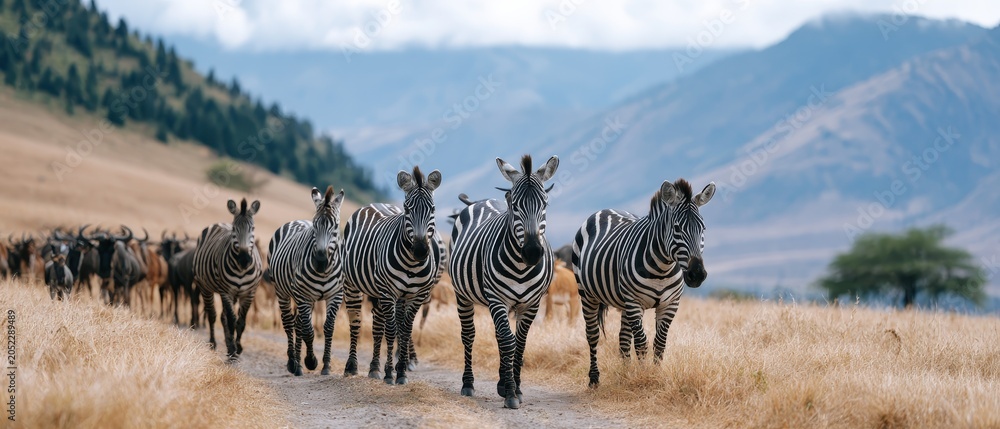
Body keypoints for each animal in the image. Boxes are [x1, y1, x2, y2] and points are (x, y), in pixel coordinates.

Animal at [194, 198, 263, 361]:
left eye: (253, 228)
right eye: (234, 229)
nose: (244, 259)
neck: (241, 270)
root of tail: (219, 223)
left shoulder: (249, 293)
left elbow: (241, 322)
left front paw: (237, 347)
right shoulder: (226, 292)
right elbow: (232, 320)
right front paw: (232, 350)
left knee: (222, 316)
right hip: (205, 287)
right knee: (212, 315)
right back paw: (213, 343)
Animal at [267, 186, 346, 376]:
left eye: (336, 227)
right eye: (315, 225)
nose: (321, 261)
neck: (324, 272)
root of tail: (297, 221)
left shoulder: (335, 295)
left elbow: (328, 327)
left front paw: (326, 365)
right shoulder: (303, 295)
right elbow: (309, 331)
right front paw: (311, 361)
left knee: (298, 323)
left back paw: (298, 365)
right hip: (283, 291)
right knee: (289, 323)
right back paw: (292, 363)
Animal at [343, 166, 445, 385]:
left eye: (433, 209)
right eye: (406, 209)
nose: (421, 250)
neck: (412, 264)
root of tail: (374, 204)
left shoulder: (416, 296)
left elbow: (404, 331)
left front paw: (402, 372)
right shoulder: (388, 292)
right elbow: (392, 330)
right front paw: (390, 372)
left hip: (382, 293)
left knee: (378, 325)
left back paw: (374, 368)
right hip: (353, 285)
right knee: (355, 321)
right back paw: (352, 366)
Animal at [450, 155, 559, 409]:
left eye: (545, 205)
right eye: (515, 205)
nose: (532, 252)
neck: (521, 267)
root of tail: (481, 201)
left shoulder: (532, 303)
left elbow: (519, 343)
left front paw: (514, 387)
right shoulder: (497, 298)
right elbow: (509, 342)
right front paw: (510, 393)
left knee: (501, 336)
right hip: (463, 295)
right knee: (469, 335)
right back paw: (468, 384)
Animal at [572, 178, 714, 388]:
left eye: (703, 229)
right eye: (677, 228)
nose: (696, 274)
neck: (662, 269)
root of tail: (604, 210)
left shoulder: (670, 304)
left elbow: (659, 343)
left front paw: (655, 375)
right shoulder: (634, 301)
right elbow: (641, 342)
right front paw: (644, 377)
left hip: (622, 303)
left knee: (623, 338)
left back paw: (625, 375)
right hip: (588, 294)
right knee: (593, 335)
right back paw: (594, 379)